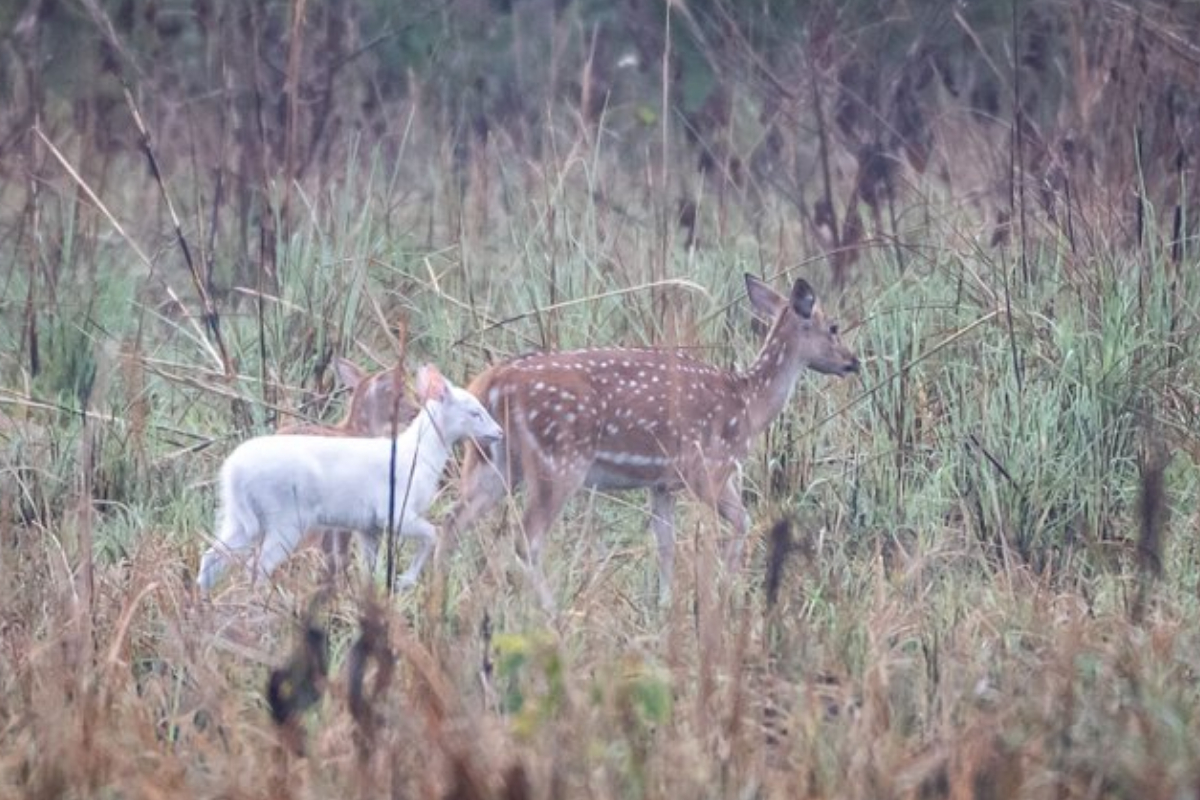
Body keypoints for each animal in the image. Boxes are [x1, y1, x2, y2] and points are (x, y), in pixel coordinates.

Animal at [441, 274, 859, 599]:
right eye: (833, 327)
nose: (853, 362)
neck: (748, 404)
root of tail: (492, 382)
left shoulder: (661, 484)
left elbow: (665, 544)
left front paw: (664, 606)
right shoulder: (708, 467)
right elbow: (742, 521)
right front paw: (723, 592)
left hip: (491, 461)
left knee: (451, 522)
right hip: (558, 461)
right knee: (526, 539)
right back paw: (550, 612)